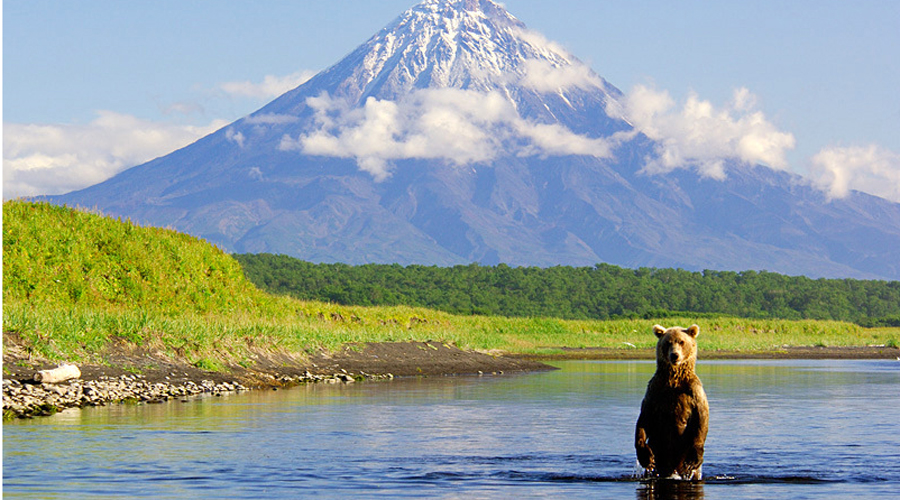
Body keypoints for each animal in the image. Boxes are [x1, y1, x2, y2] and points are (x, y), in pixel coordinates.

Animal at [636, 324, 708, 480]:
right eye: (668, 342)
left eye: (681, 342)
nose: (674, 355)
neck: (674, 379)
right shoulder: (655, 391)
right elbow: (644, 419)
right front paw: (646, 457)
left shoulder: (694, 391)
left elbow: (701, 417)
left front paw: (693, 459)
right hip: (659, 450)